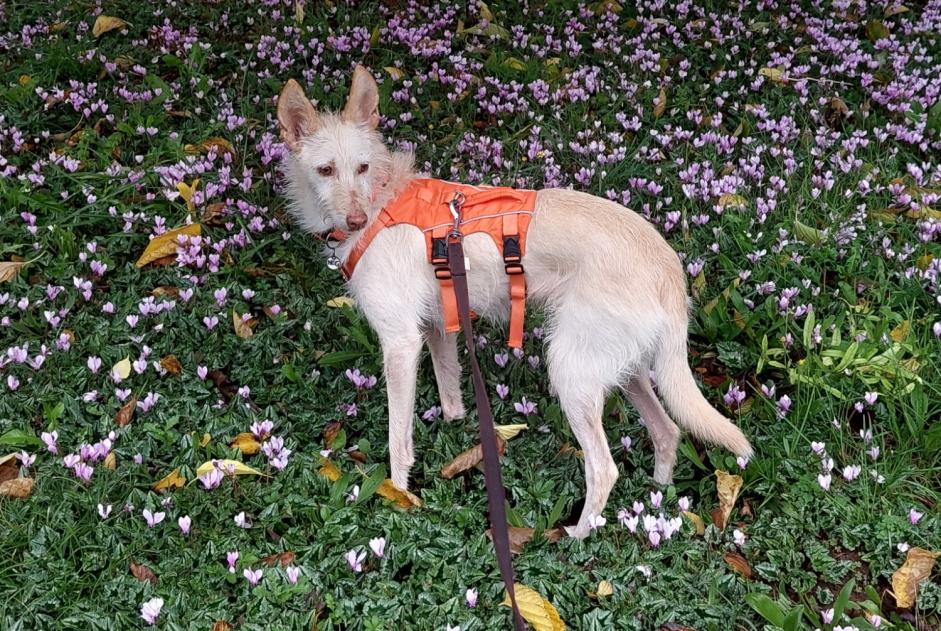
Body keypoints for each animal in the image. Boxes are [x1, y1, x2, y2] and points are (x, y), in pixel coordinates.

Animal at [276, 65, 752, 540]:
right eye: (325, 170)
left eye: (361, 167)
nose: (356, 220)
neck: (382, 198)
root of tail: (668, 265)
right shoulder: (437, 329)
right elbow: (451, 397)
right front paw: (458, 441)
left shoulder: (400, 344)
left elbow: (398, 439)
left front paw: (397, 494)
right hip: (624, 368)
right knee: (667, 431)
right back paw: (658, 502)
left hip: (571, 370)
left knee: (604, 468)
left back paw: (577, 538)